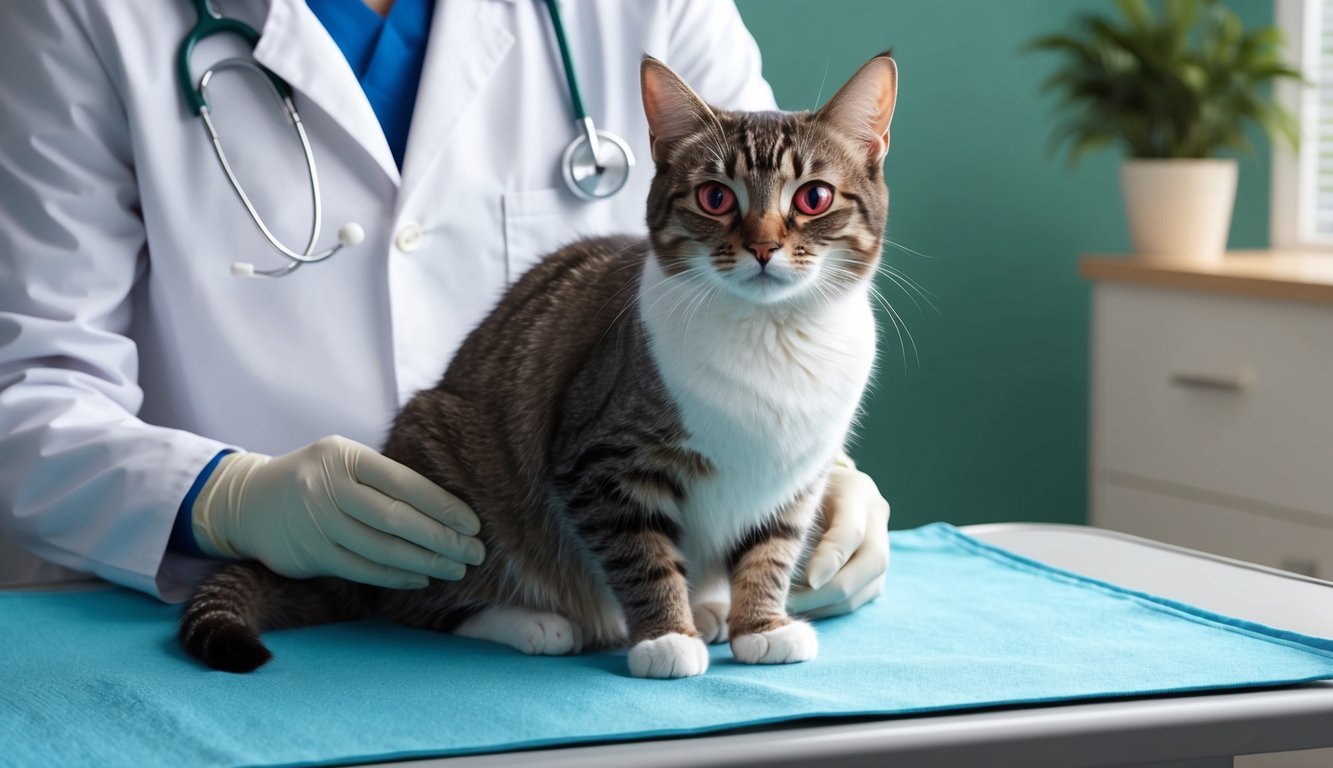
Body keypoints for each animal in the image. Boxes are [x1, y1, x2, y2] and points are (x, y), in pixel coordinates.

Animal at [179, 52, 895, 677]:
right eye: (716, 198)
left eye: (813, 198)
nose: (764, 247)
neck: (769, 337)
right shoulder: (601, 458)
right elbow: (641, 554)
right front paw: (666, 635)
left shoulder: (795, 479)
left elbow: (772, 550)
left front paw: (761, 625)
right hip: (442, 477)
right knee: (418, 600)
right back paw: (532, 622)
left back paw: (711, 607)